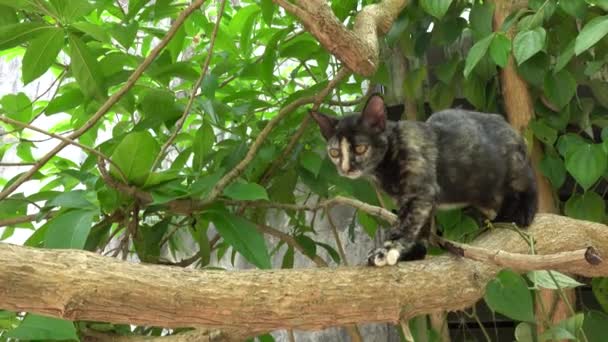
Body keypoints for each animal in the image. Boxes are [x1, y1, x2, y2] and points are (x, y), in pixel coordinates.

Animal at [312, 94, 540, 268]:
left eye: (360, 148)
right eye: (334, 152)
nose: (346, 168)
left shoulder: (419, 192)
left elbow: (404, 224)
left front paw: (386, 250)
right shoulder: (419, 198)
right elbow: (421, 226)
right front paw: (413, 252)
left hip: (514, 167)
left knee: (529, 183)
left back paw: (523, 211)